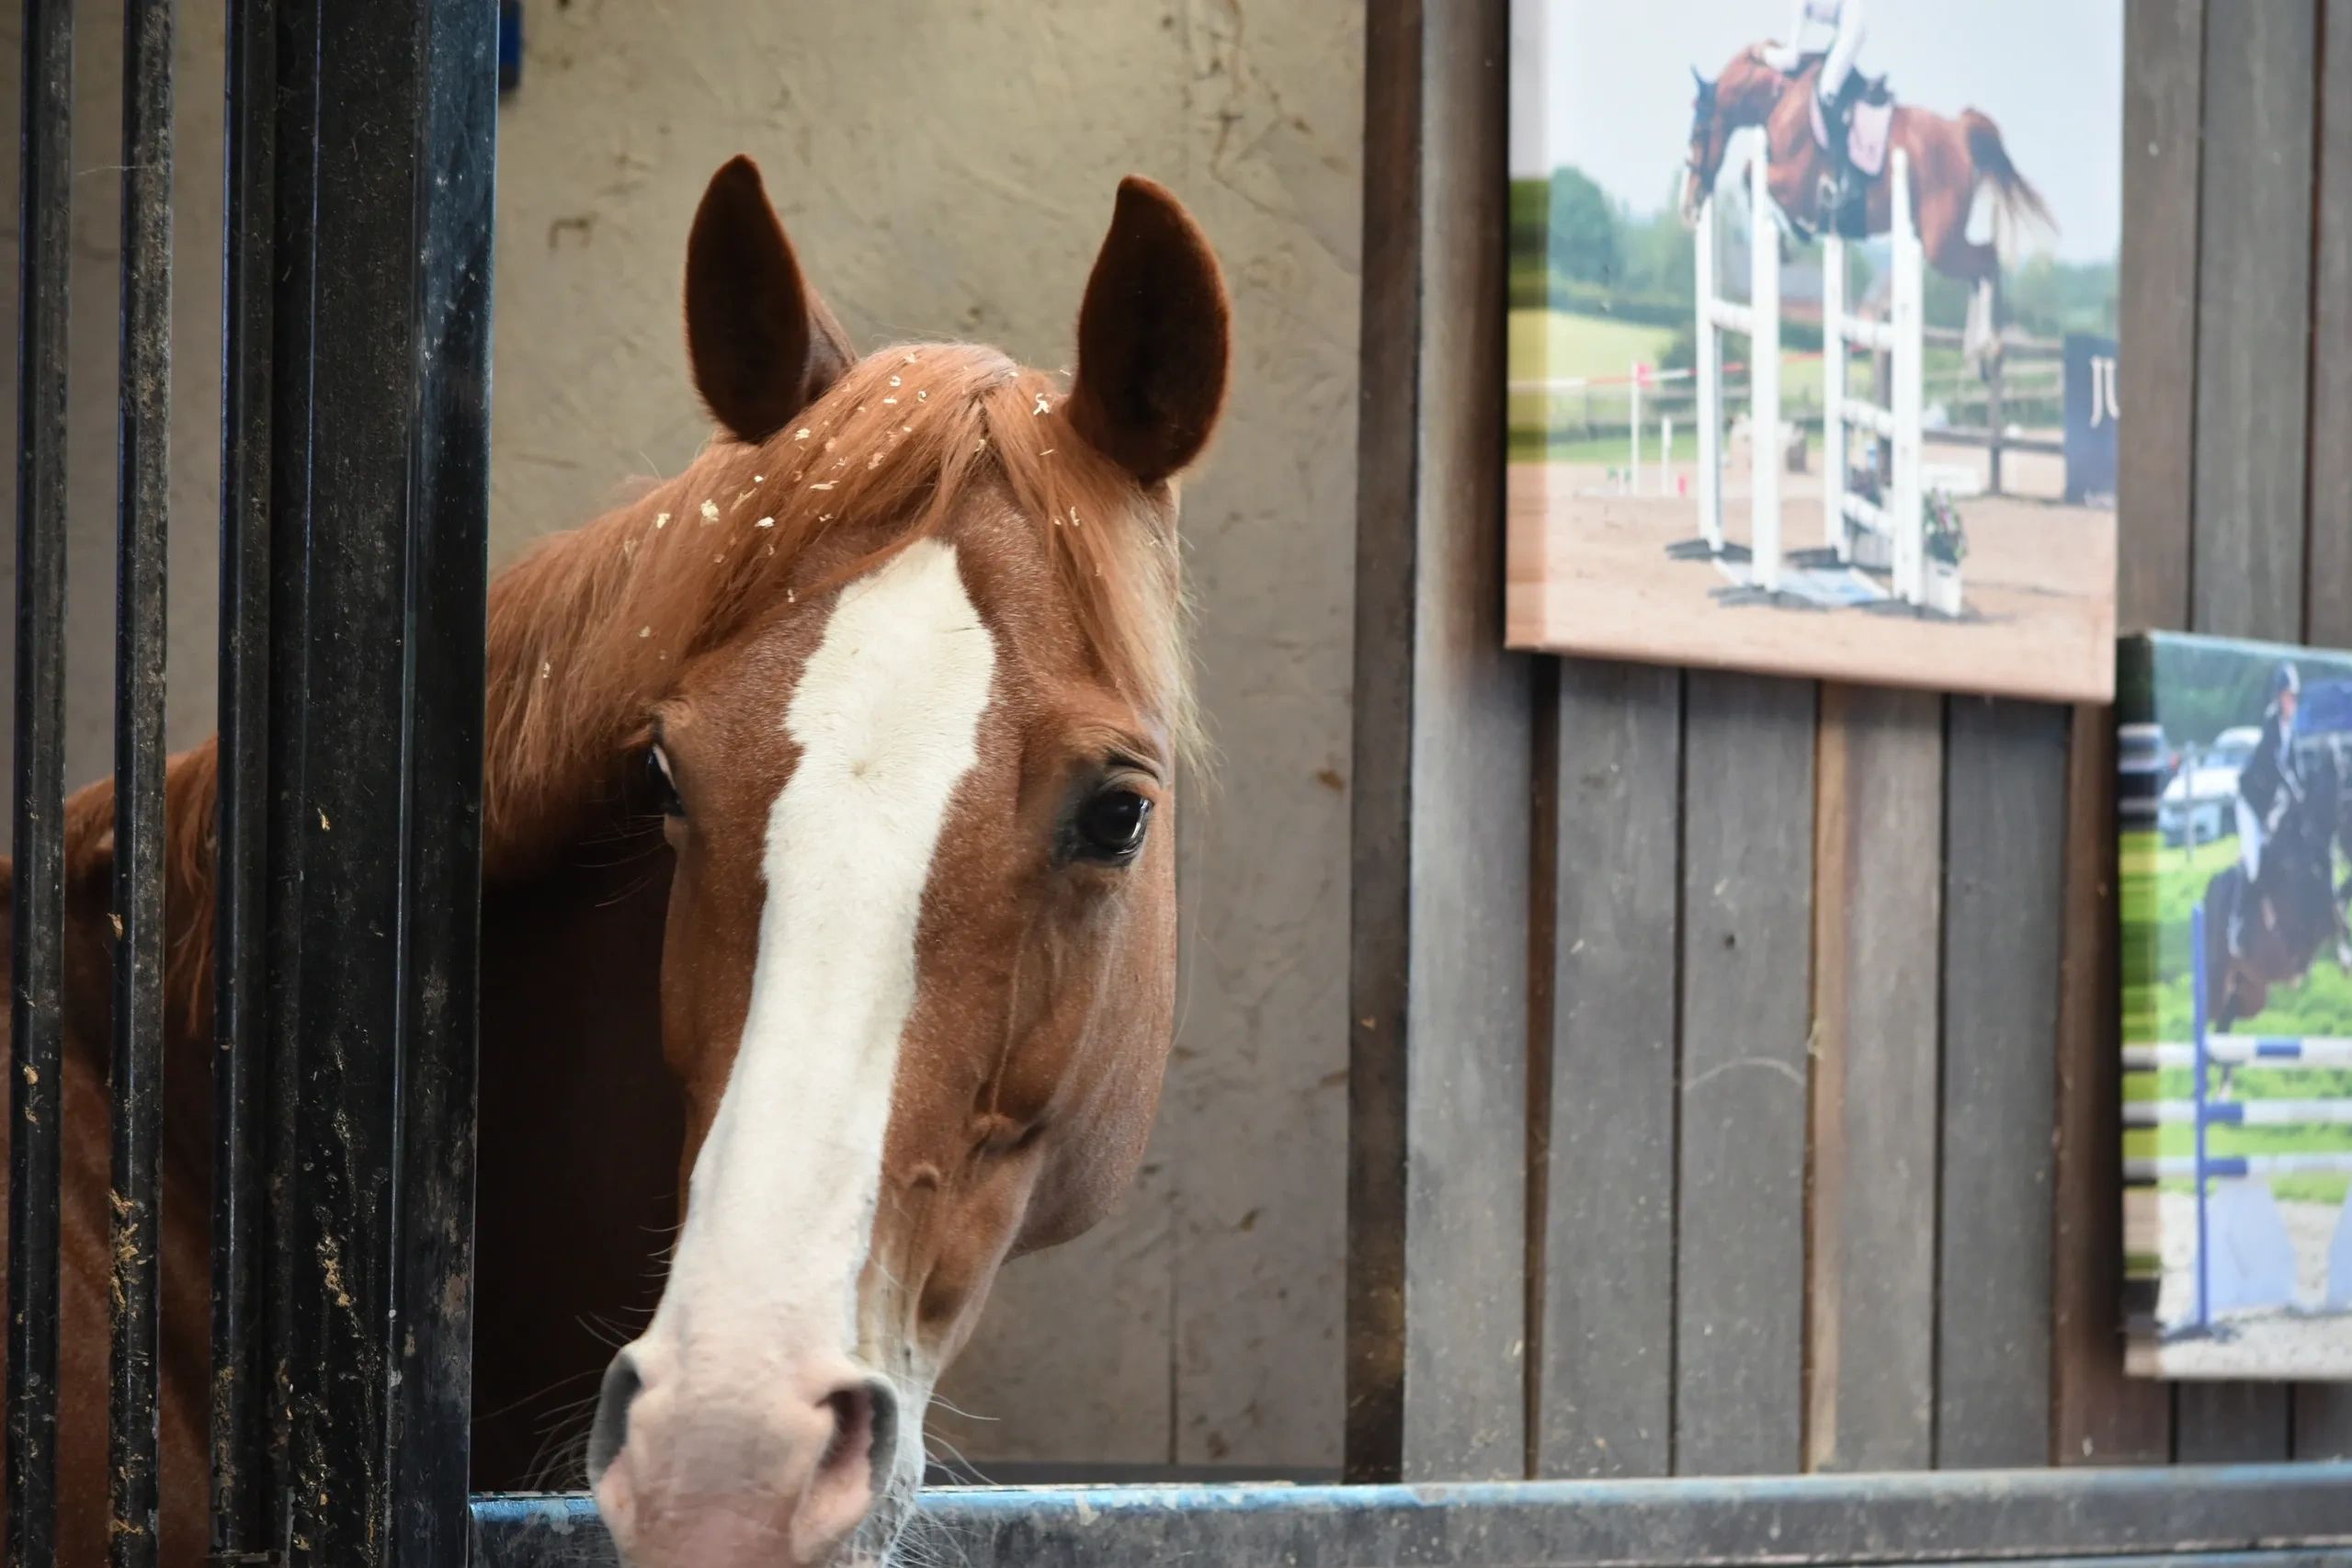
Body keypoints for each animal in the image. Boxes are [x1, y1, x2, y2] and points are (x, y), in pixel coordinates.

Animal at [1680, 45, 2055, 368]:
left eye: (1698, 134)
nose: (1689, 204)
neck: (1779, 100)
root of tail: (1959, 132)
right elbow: (1752, 178)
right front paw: (1800, 232)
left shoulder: (1793, 181)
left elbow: (1750, 174)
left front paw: (1795, 236)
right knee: (1981, 269)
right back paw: (1976, 352)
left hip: (1940, 242)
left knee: (1987, 260)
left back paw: (1986, 348)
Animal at [2202, 740, 2352, 1035]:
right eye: (2347, 802)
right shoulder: (2299, 922)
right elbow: (2334, 913)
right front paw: (2345, 959)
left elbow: (2339, 904)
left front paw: (2344, 957)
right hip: (2218, 984)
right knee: (2205, 1013)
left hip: (2251, 993)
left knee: (2224, 1022)